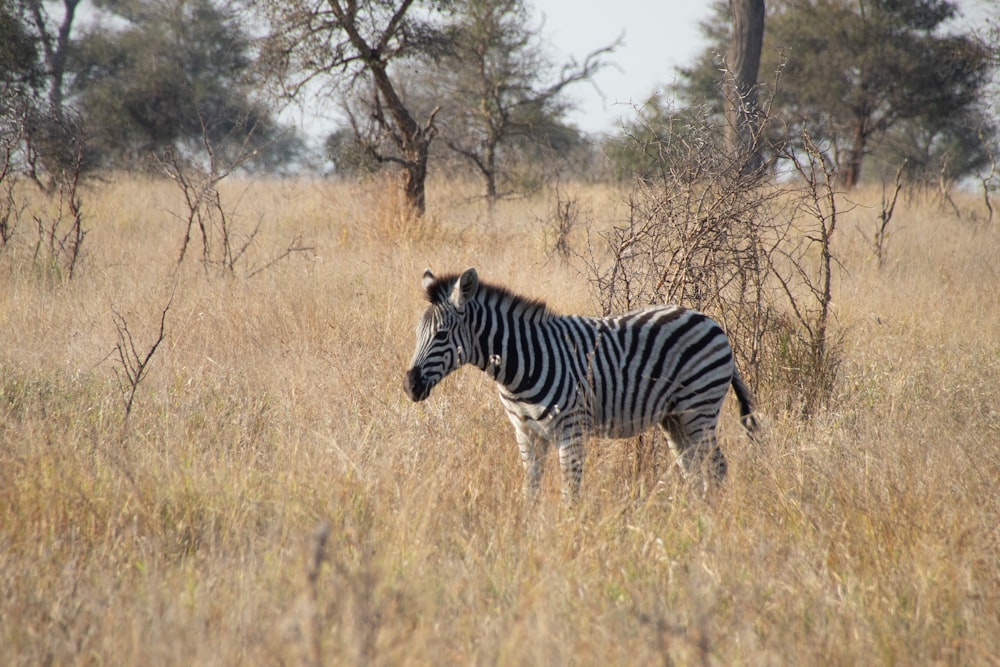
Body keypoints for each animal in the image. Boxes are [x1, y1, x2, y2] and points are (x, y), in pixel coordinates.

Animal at [402, 266, 752, 500]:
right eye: (417, 333)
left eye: (441, 335)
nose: (409, 386)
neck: (521, 366)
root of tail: (710, 322)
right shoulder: (526, 433)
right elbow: (531, 491)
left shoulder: (572, 430)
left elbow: (571, 493)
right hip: (674, 417)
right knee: (694, 470)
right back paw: (693, 516)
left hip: (699, 408)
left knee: (717, 467)